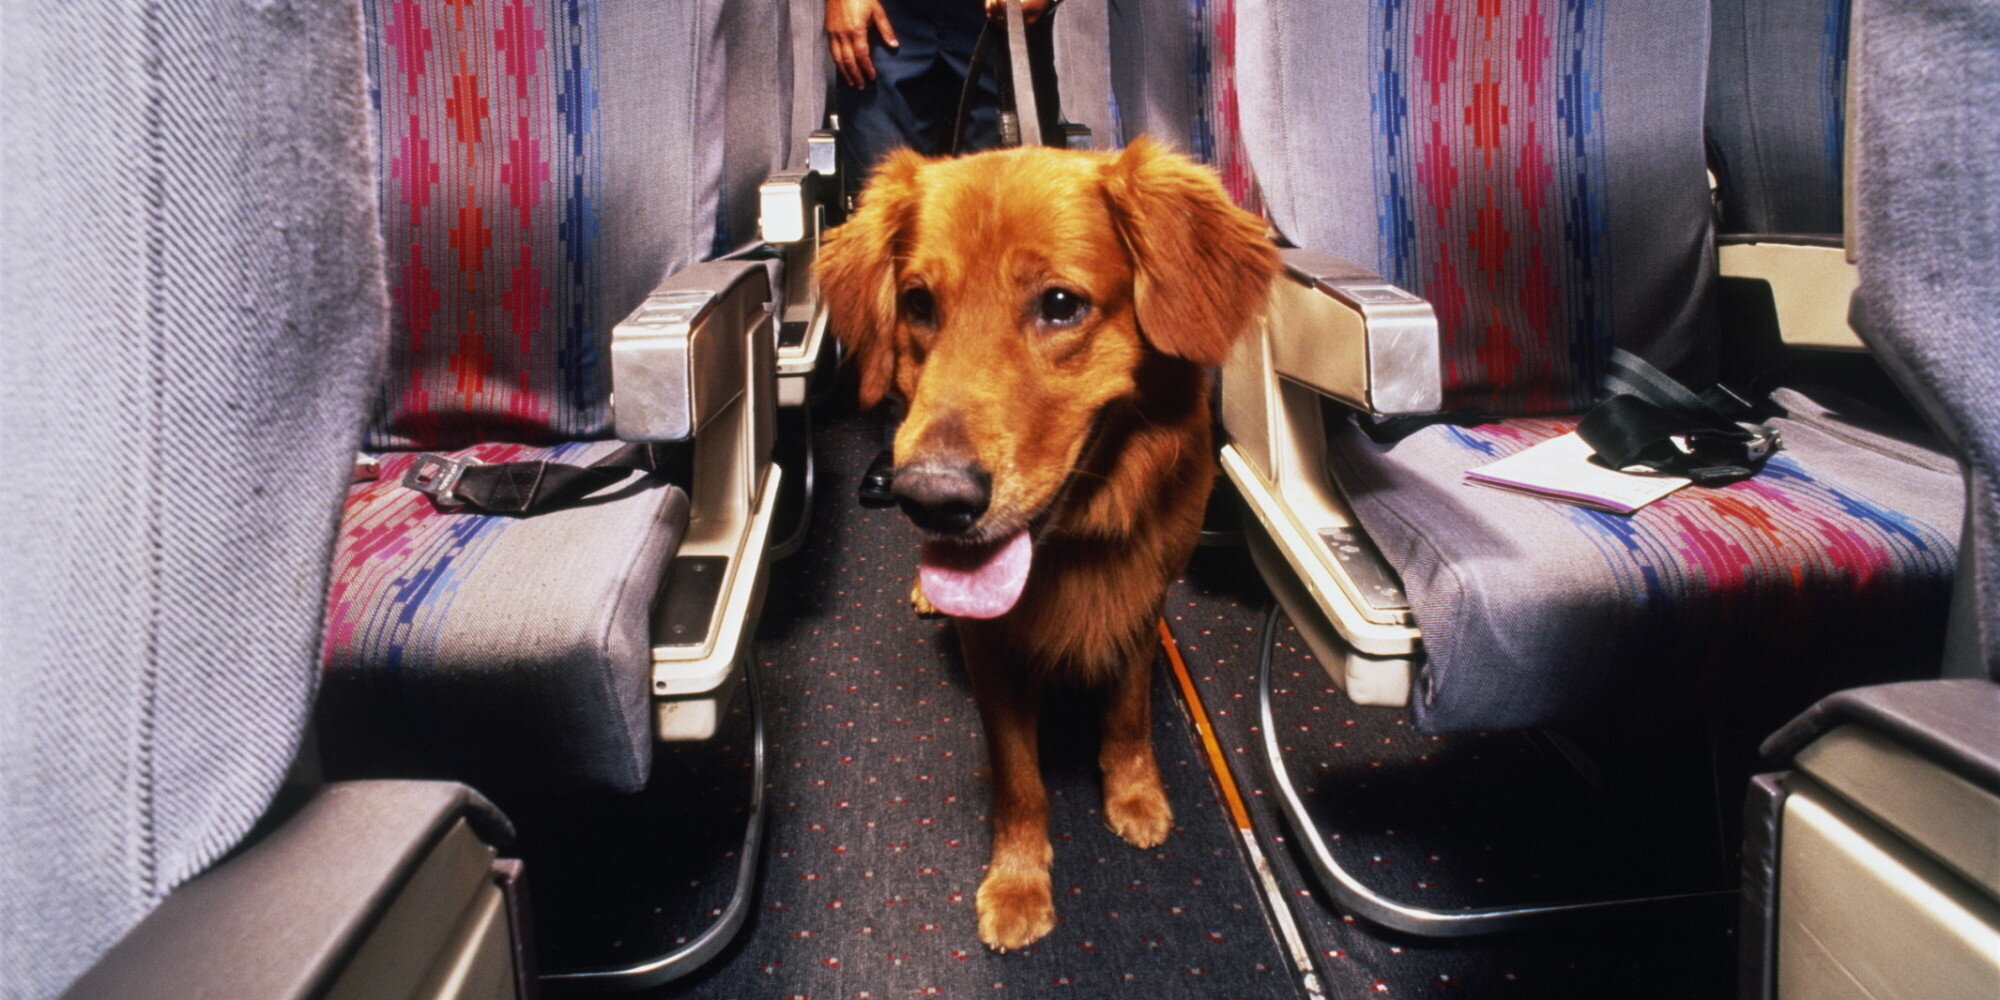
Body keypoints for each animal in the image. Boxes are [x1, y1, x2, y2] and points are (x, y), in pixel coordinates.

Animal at [816, 137, 1272, 948]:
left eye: (1060, 305)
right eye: (918, 304)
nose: (931, 499)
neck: (1076, 542)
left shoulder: (1143, 602)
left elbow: (1127, 712)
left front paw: (1134, 795)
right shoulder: (987, 647)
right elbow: (1019, 778)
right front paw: (1019, 882)